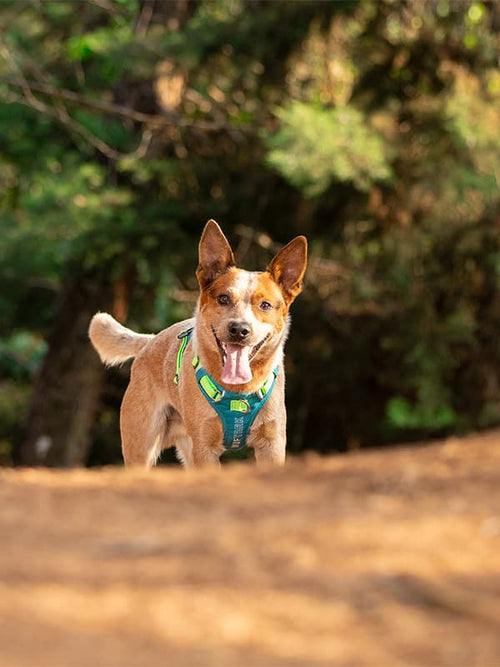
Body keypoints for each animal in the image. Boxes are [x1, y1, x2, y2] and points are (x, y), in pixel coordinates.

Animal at [90, 222, 308, 468]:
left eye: (265, 305)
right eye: (223, 299)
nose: (239, 330)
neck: (239, 393)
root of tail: (151, 340)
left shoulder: (272, 445)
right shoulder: (204, 448)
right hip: (142, 443)